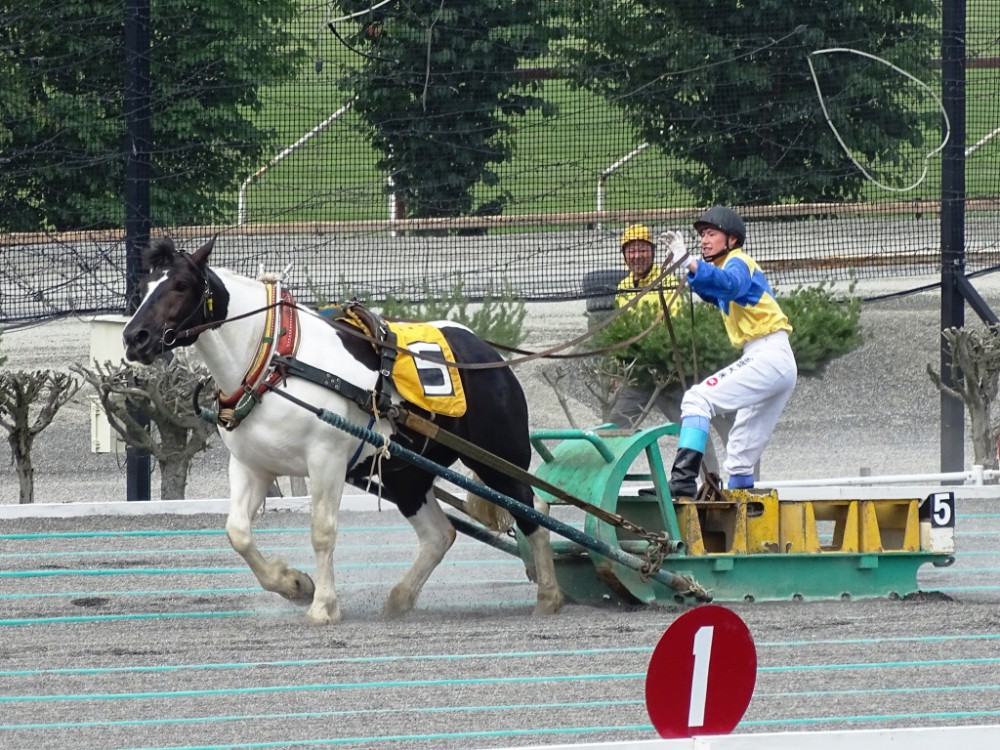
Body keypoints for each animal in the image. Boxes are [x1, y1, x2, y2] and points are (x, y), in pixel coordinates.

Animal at [119, 238, 564, 624]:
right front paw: (294, 584)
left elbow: (322, 532)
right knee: (440, 535)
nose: (134, 337)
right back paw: (401, 598)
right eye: (142, 287)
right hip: (408, 474)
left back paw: (549, 594)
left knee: (531, 513)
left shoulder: (326, 460)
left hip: (499, 459)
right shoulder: (252, 466)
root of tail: (485, 353)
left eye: (180, 285)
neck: (275, 360)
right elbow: (238, 533)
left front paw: (323, 606)